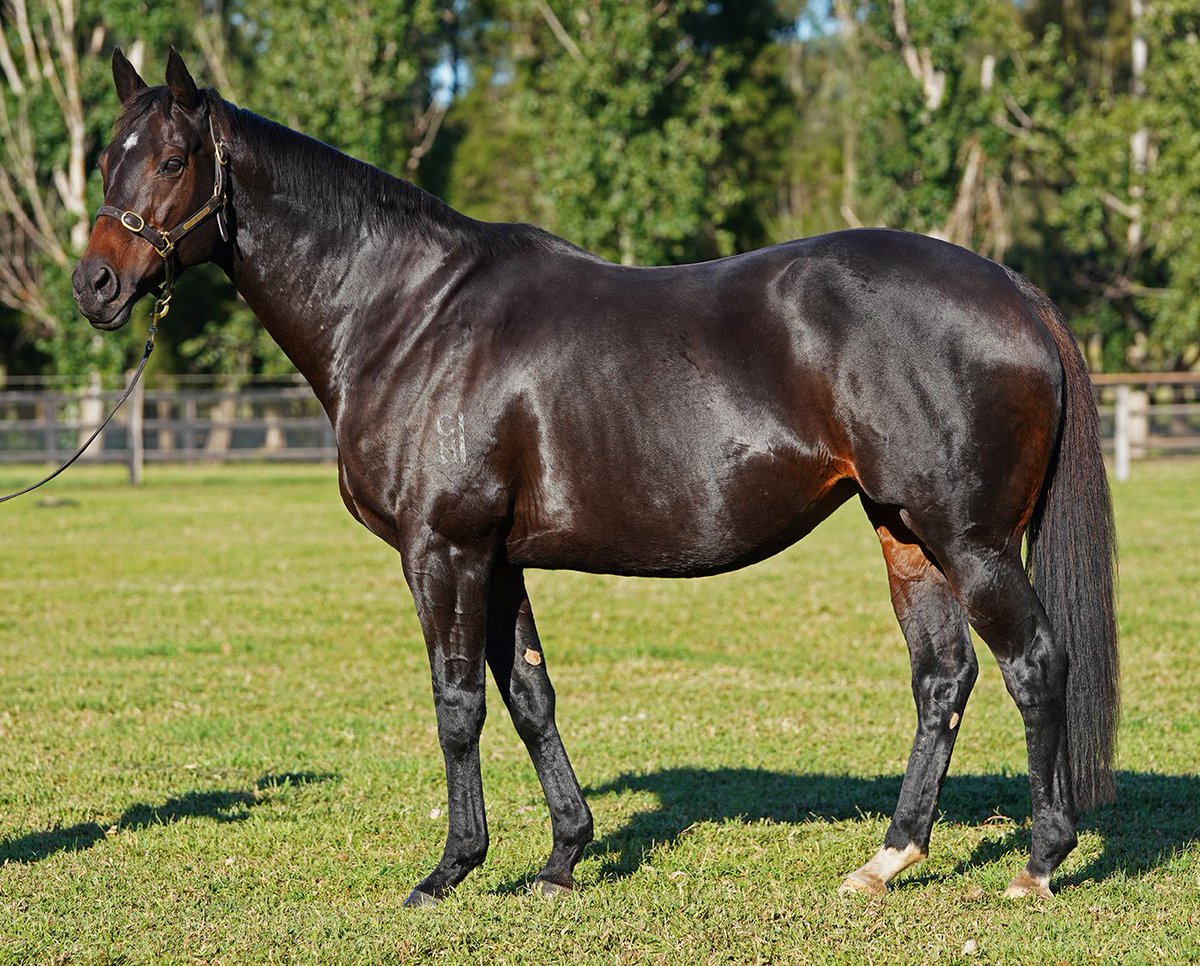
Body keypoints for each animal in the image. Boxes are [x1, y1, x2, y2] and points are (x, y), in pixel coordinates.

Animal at [73, 49, 1117, 906]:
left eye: (173, 160)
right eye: (104, 159)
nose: (95, 286)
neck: (408, 313)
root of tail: (1012, 290)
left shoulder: (443, 550)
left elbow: (458, 705)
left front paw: (450, 871)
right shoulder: (498, 559)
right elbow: (530, 697)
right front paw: (562, 858)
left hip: (970, 540)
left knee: (1034, 665)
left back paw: (1037, 863)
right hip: (905, 535)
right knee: (943, 679)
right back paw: (887, 860)